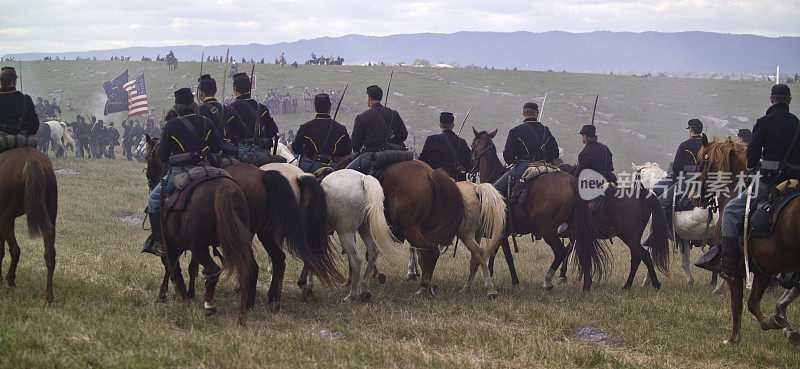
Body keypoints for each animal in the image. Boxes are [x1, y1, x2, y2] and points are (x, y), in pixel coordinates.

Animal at [0, 147, 57, 302]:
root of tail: (31, 160)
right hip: (50, 216)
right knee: (50, 254)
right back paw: (48, 295)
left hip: (5, 218)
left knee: (15, 250)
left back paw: (10, 280)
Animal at [144, 137, 256, 322]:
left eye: (149, 157)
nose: (150, 181)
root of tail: (225, 189)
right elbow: (185, 268)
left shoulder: (171, 245)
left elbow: (172, 267)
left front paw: (178, 298)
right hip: (241, 240)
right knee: (246, 268)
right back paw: (242, 314)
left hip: (199, 246)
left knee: (214, 270)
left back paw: (209, 304)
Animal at [472, 129, 608, 290]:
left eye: (472, 145)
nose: (469, 164)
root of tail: (572, 180)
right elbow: (496, 250)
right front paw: (493, 273)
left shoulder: (502, 230)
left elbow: (506, 255)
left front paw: (514, 280)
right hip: (575, 227)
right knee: (583, 250)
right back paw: (586, 285)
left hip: (547, 228)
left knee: (561, 251)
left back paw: (548, 281)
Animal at [632, 162, 724, 290]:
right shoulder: (683, 238)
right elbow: (685, 262)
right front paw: (690, 282)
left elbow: (652, 256)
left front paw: (647, 281)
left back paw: (719, 288)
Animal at [692, 134, 800, 344]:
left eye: (700, 162)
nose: (694, 197)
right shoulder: (764, 268)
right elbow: (753, 302)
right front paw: (774, 322)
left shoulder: (736, 267)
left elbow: (738, 303)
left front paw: (733, 338)